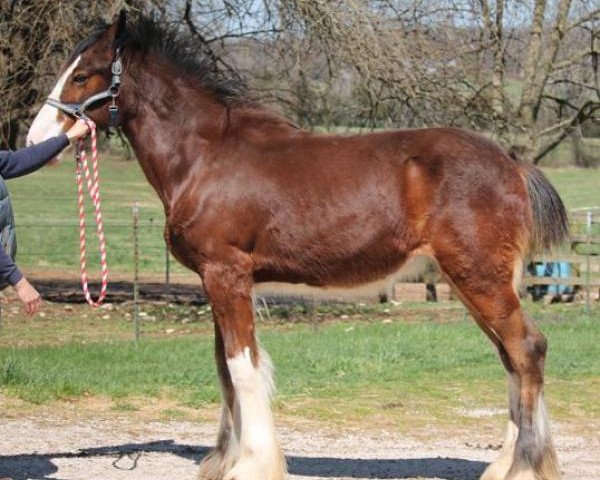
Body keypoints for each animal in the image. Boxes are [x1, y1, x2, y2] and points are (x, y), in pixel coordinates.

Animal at [27, 11, 568, 480]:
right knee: (511, 359)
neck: (205, 157)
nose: (37, 138)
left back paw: (524, 467)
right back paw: (502, 464)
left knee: (527, 349)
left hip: (478, 278)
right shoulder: (216, 281)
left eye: (84, 75)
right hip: (481, 282)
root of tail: (512, 164)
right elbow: (224, 369)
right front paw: (223, 461)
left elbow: (242, 368)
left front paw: (250, 465)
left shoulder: (226, 275)